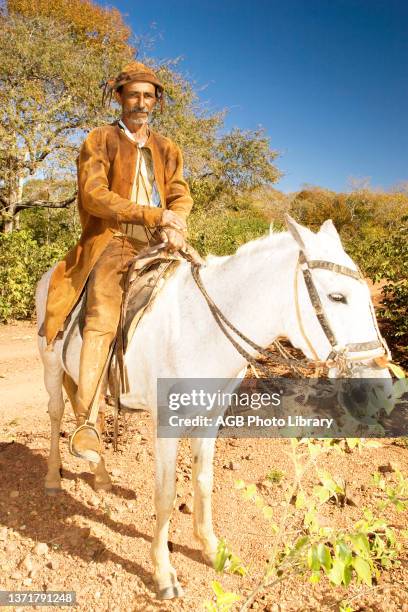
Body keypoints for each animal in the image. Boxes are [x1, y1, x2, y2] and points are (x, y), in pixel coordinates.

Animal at [35, 215, 392, 596]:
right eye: (337, 297)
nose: (380, 389)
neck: (200, 330)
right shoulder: (167, 425)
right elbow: (165, 495)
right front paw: (163, 572)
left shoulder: (210, 418)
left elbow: (204, 481)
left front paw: (211, 548)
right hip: (51, 364)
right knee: (57, 411)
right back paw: (53, 478)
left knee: (89, 411)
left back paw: (99, 473)